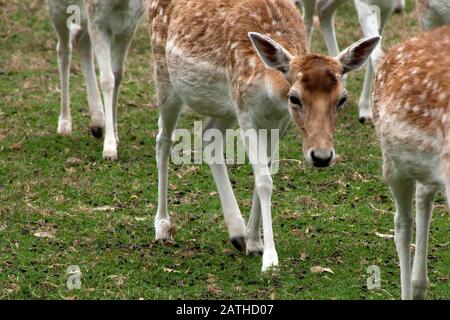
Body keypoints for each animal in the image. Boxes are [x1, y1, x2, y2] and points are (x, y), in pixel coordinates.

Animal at [46, 0, 145, 160]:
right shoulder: (98, 20)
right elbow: (107, 79)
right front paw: (109, 149)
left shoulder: (130, 23)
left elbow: (117, 75)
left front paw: (114, 135)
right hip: (57, 8)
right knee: (63, 50)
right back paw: (64, 124)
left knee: (81, 40)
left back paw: (97, 122)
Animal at [149, 0, 380, 272]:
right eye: (295, 98)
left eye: (342, 98)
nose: (322, 156)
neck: (271, 95)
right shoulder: (246, 112)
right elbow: (263, 180)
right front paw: (270, 259)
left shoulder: (278, 122)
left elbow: (267, 172)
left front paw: (253, 241)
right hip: (165, 75)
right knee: (163, 140)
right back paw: (163, 226)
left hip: (224, 105)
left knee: (208, 134)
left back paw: (236, 231)